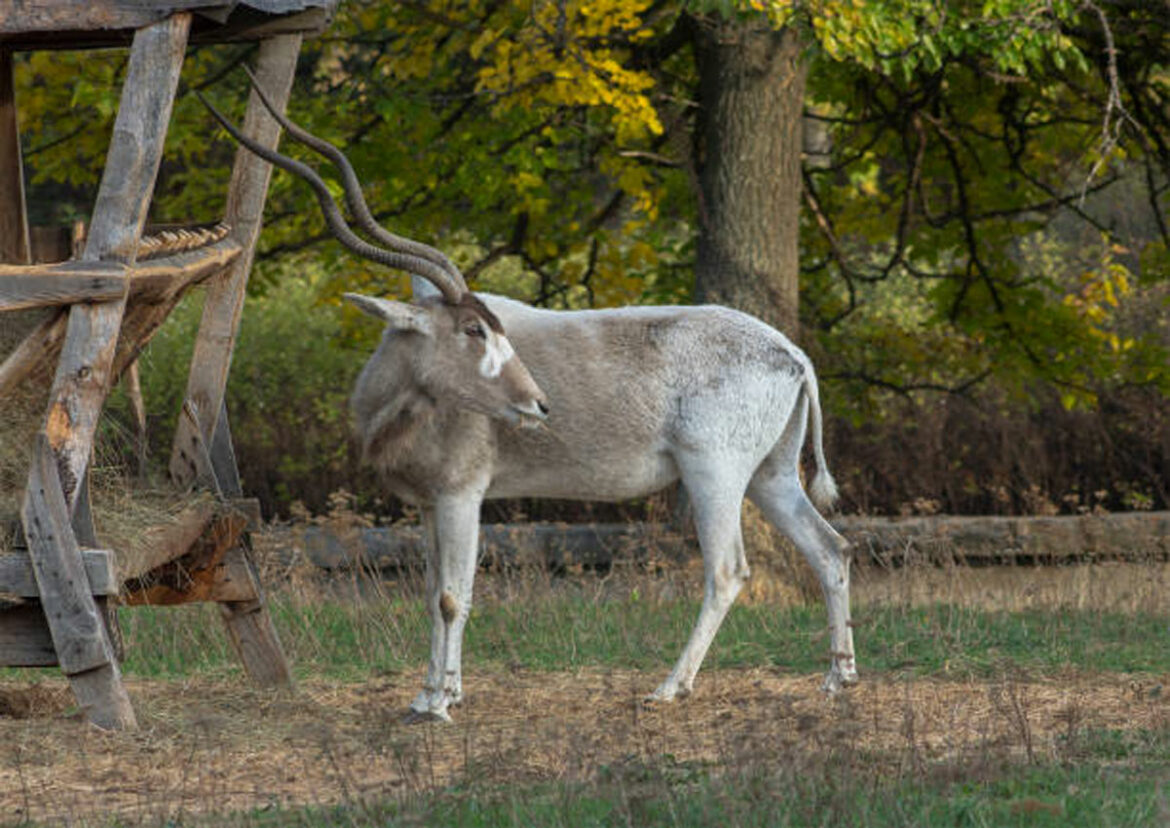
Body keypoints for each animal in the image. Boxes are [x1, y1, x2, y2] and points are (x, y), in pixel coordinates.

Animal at [205, 80, 856, 720]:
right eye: (473, 328)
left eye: (490, 325)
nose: (538, 405)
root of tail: (791, 354)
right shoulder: (428, 505)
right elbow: (430, 592)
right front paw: (429, 693)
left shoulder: (462, 496)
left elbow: (452, 596)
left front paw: (441, 703)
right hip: (770, 476)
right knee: (831, 549)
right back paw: (837, 679)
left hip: (712, 473)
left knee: (726, 571)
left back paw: (671, 687)